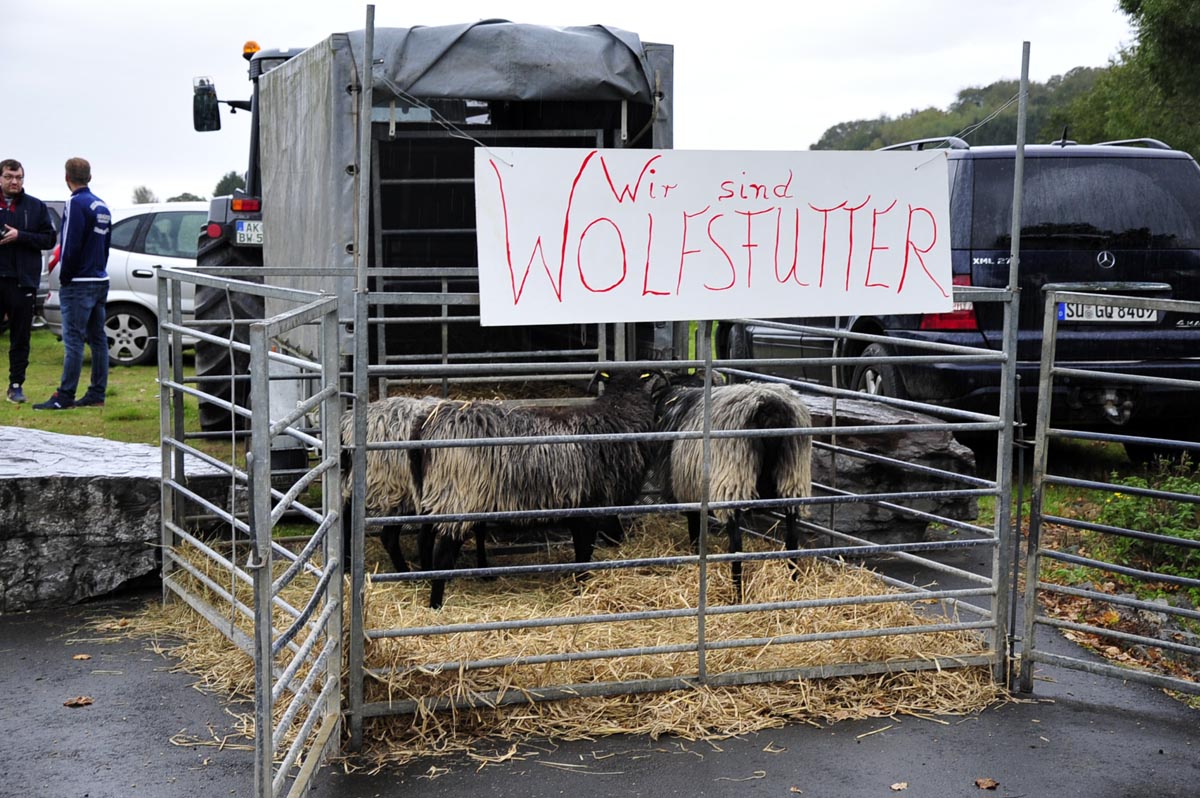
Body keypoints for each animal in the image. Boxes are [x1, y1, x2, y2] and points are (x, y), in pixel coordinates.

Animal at [408, 369, 662, 609]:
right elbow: (583, 552)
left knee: (424, 539)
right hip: (458, 497)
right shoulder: (591, 507)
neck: (619, 414)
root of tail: (428, 423)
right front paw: (581, 587)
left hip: (435, 496)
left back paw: (426, 579)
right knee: (443, 553)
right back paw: (436, 604)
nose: (619, 540)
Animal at [657, 379, 816, 597]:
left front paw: (695, 553)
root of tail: (770, 407)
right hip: (793, 476)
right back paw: (793, 582)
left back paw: (737, 592)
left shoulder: (690, 492)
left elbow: (695, 529)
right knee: (792, 537)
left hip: (733, 480)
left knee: (737, 545)